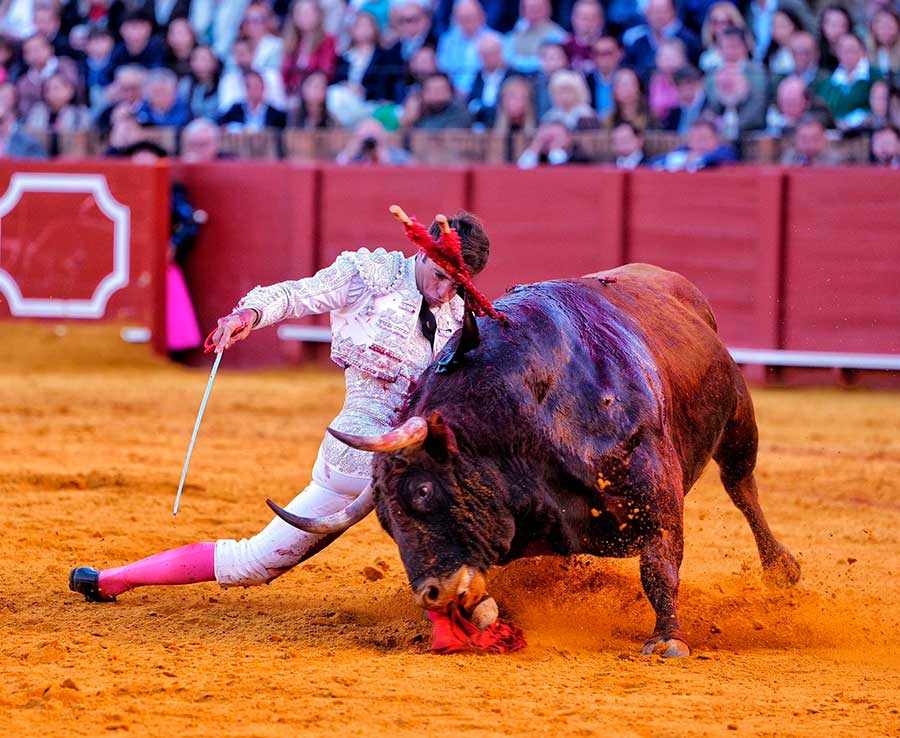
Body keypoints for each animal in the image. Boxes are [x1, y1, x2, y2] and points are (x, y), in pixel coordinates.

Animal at [268, 263, 801, 657]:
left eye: (422, 490)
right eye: (384, 521)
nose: (430, 595)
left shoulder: (657, 500)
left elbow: (659, 567)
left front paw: (667, 641)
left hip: (738, 418)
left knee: (741, 486)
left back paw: (782, 571)